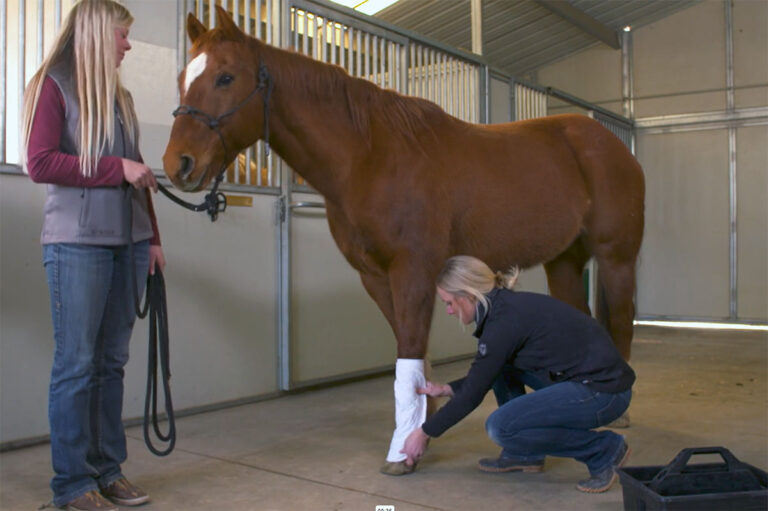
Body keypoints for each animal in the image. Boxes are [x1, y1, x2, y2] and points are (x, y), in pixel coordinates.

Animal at [162, 6, 645, 475]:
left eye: (226, 77)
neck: (370, 156)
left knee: (622, 321)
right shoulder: (376, 276)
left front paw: (403, 450)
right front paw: (418, 427)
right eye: (183, 77)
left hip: (617, 257)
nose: (177, 165)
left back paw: (619, 414)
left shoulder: (413, 268)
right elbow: (411, 356)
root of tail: (607, 141)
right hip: (563, 259)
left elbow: (409, 349)